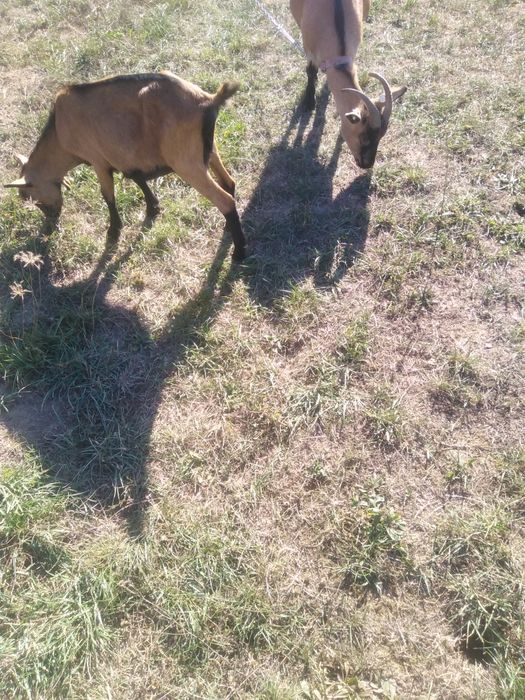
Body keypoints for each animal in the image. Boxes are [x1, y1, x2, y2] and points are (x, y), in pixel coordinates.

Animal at [5, 72, 246, 260]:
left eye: (33, 199)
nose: (51, 223)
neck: (60, 130)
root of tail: (208, 101)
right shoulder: (126, 157)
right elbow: (136, 178)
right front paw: (153, 208)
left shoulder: (98, 160)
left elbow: (107, 195)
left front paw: (113, 232)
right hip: (208, 151)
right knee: (229, 183)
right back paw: (229, 229)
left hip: (186, 162)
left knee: (224, 200)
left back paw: (239, 253)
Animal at [290, 0, 406, 168]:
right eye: (364, 137)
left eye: (382, 135)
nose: (367, 165)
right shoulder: (308, 48)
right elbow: (311, 71)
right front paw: (309, 102)